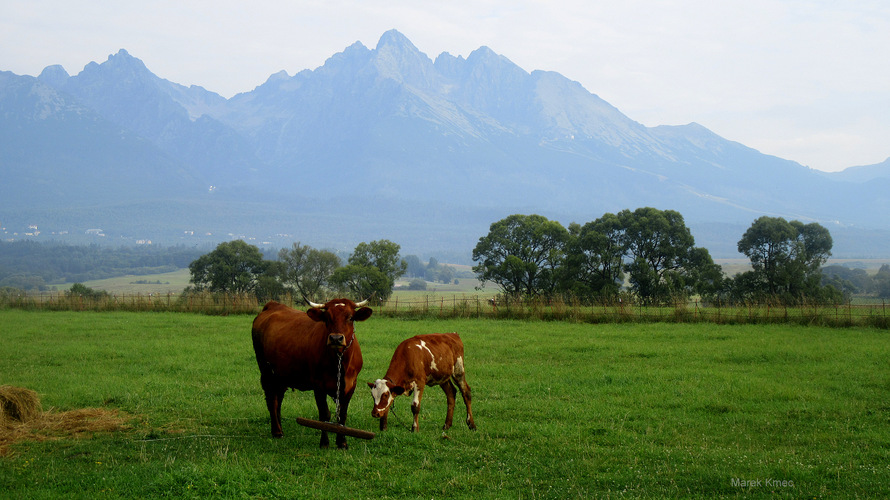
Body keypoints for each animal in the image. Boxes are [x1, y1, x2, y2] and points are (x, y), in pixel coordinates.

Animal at [250, 296, 372, 450]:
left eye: (350, 317)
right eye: (327, 317)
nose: (336, 338)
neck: (339, 360)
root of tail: (273, 306)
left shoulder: (351, 385)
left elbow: (342, 415)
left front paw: (342, 442)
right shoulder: (318, 385)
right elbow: (324, 415)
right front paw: (324, 443)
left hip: (281, 375)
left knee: (278, 399)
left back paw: (279, 429)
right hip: (266, 372)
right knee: (272, 400)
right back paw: (277, 431)